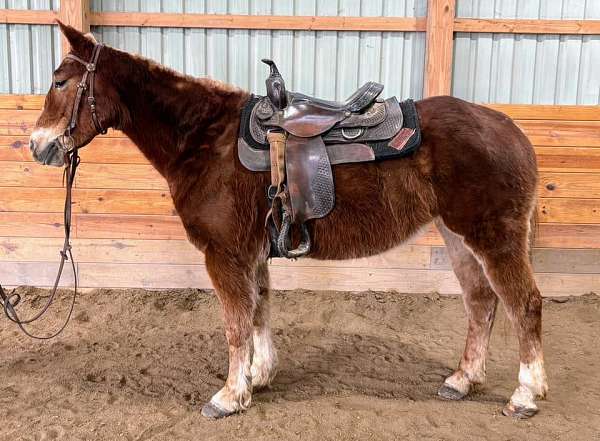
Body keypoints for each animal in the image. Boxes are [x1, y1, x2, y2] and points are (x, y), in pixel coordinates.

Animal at [29, 23, 548, 420]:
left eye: (60, 82)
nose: (38, 145)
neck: (203, 138)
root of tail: (513, 130)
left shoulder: (224, 255)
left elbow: (235, 324)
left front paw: (228, 395)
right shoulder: (252, 253)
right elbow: (258, 311)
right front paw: (259, 377)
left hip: (493, 237)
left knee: (524, 305)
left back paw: (525, 395)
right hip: (458, 237)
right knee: (481, 303)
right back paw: (462, 379)